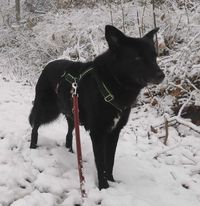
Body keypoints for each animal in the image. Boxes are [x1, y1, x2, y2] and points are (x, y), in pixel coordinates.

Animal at [29, 25, 164, 190]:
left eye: (154, 56)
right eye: (137, 58)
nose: (161, 75)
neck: (111, 84)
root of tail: (47, 65)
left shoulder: (114, 132)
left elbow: (110, 161)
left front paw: (111, 181)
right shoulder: (98, 133)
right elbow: (100, 163)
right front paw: (104, 186)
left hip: (72, 114)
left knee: (69, 134)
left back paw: (71, 152)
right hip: (46, 109)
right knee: (35, 126)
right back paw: (33, 147)